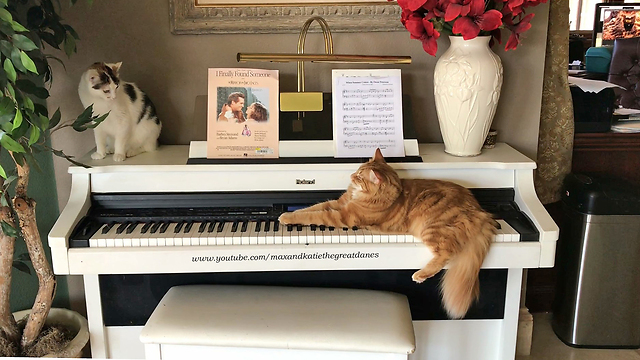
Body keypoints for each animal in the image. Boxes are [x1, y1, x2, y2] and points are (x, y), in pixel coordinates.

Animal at [278, 148, 496, 318]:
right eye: (357, 171)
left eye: (359, 176)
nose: (351, 176)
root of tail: (480, 209)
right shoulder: (338, 204)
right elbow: (311, 208)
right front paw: (290, 213)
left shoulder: (342, 216)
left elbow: (313, 215)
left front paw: (286, 217)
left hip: (431, 228)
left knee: (446, 253)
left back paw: (420, 275)